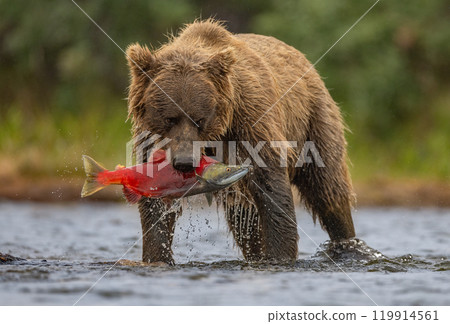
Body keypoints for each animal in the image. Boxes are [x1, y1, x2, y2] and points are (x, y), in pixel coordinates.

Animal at [125, 19, 356, 264]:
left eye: (199, 120)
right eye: (169, 118)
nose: (185, 162)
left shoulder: (251, 119)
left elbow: (271, 184)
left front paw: (280, 254)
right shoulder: (150, 138)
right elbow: (155, 199)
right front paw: (157, 255)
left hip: (314, 120)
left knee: (328, 189)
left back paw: (346, 242)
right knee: (245, 223)